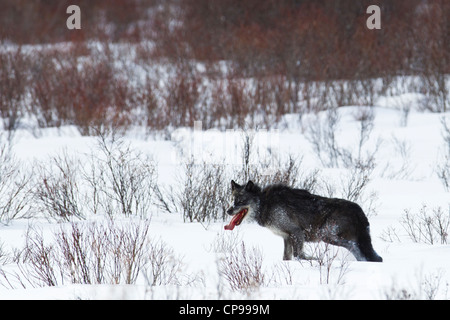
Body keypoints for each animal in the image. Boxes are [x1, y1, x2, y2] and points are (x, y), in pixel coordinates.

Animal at [225, 180, 384, 262]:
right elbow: (287, 257)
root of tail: (358, 210)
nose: (228, 211)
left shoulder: (297, 233)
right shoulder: (287, 237)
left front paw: (314, 260)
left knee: (354, 247)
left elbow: (299, 256)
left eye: (241, 201)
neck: (265, 204)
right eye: (232, 200)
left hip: (326, 236)